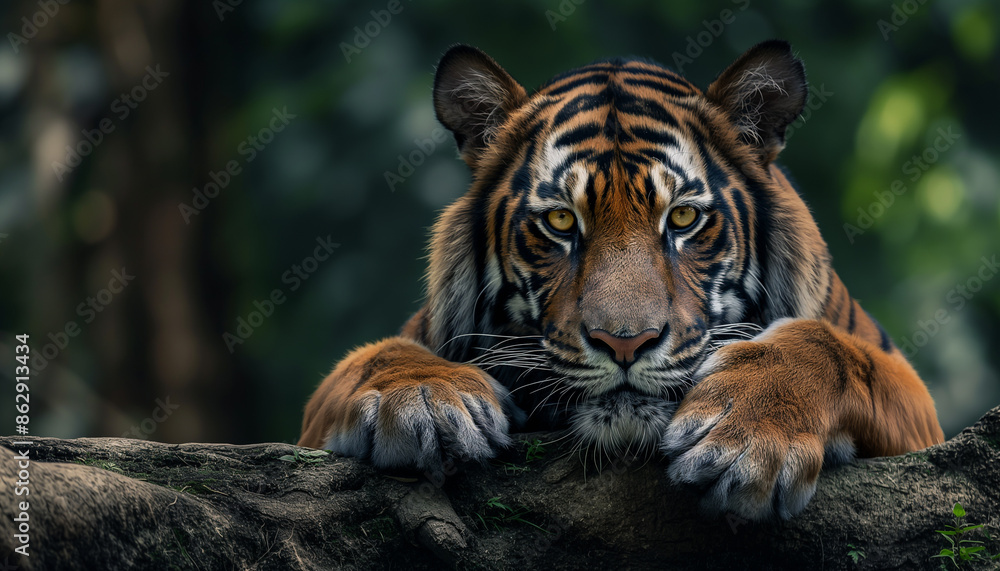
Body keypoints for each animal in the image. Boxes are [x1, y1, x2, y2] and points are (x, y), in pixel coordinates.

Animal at [299, 40, 944, 520]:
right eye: (562, 221)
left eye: (682, 218)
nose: (625, 342)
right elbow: (374, 355)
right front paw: (424, 398)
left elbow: (832, 349)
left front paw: (749, 437)